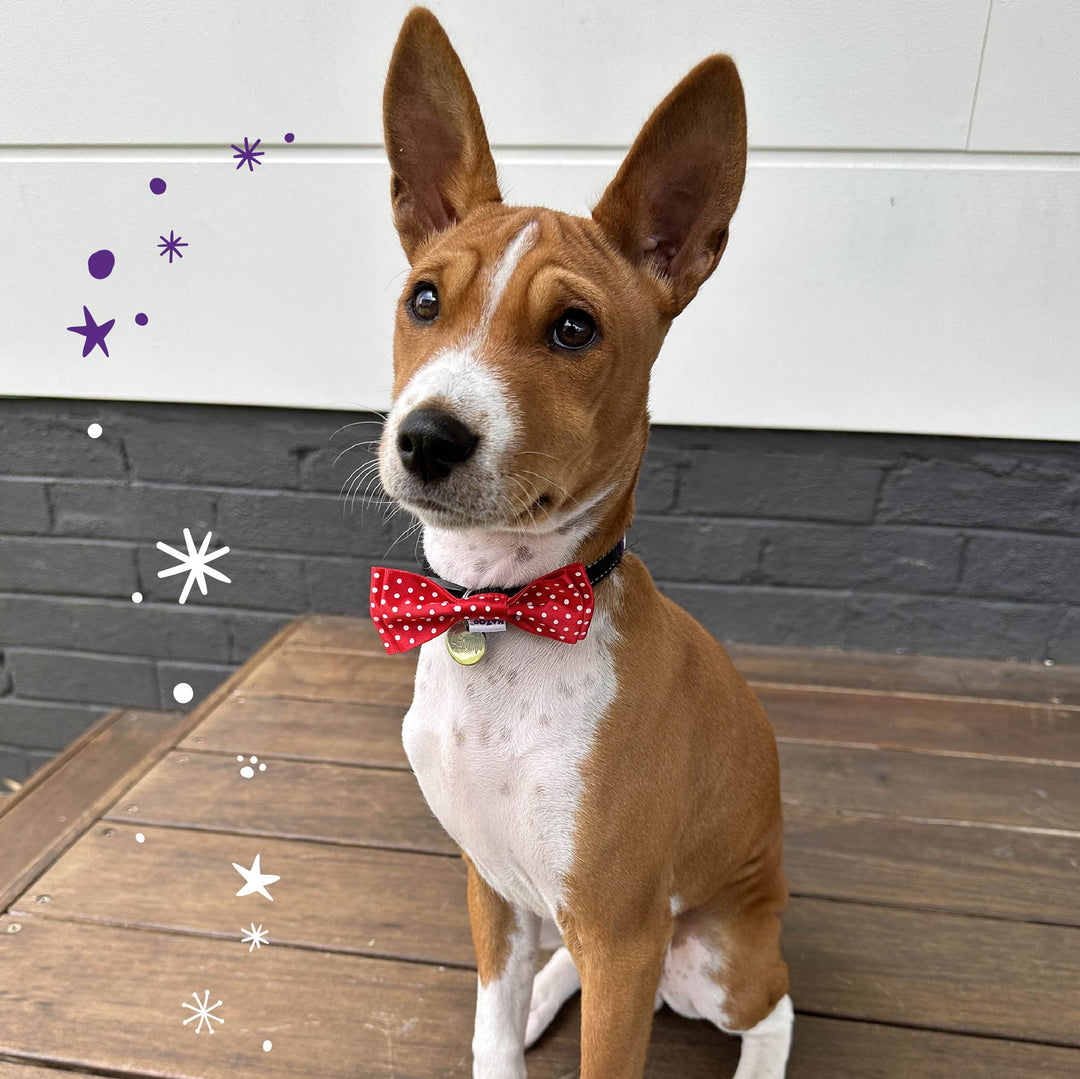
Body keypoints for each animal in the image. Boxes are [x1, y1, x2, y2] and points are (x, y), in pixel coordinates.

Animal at [375, 10, 790, 1079]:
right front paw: (509, 1026)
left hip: (712, 954)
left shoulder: (624, 929)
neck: (500, 619)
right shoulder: (489, 883)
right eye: (424, 300)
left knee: (775, 1007)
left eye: (573, 328)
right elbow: (490, 1031)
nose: (428, 437)